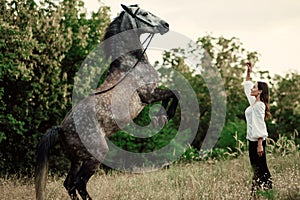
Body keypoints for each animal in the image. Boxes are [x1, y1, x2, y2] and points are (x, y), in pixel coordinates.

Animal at [36, 4, 179, 200]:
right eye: (144, 14)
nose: (166, 25)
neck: (131, 63)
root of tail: (61, 129)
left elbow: (170, 95)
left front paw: (161, 117)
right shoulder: (148, 94)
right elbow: (175, 93)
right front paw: (164, 116)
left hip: (77, 160)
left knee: (69, 184)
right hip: (95, 156)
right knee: (80, 183)